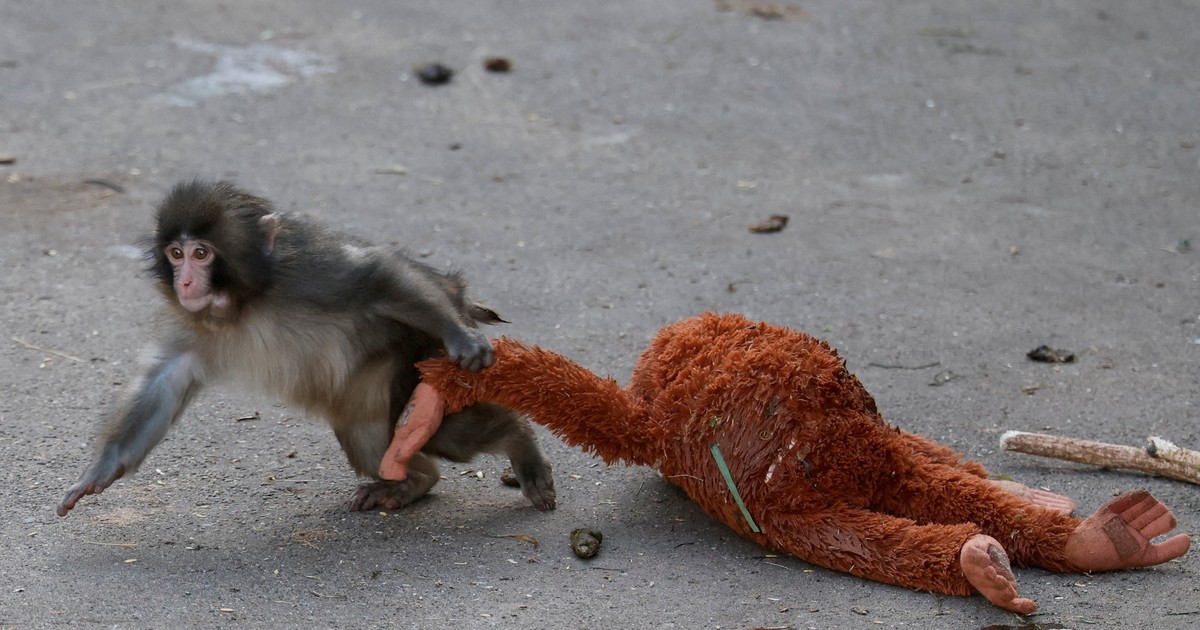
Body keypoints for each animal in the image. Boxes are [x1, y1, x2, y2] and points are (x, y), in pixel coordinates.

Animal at [57, 180, 555, 517]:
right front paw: (100, 470)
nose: (184, 282)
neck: (246, 302)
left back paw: (520, 444)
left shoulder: (307, 271)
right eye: (175, 255)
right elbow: (166, 379)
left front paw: (464, 338)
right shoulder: (192, 322)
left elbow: (373, 276)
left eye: (201, 253)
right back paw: (412, 482)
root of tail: (459, 294)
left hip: (422, 354)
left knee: (453, 431)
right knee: (372, 440)